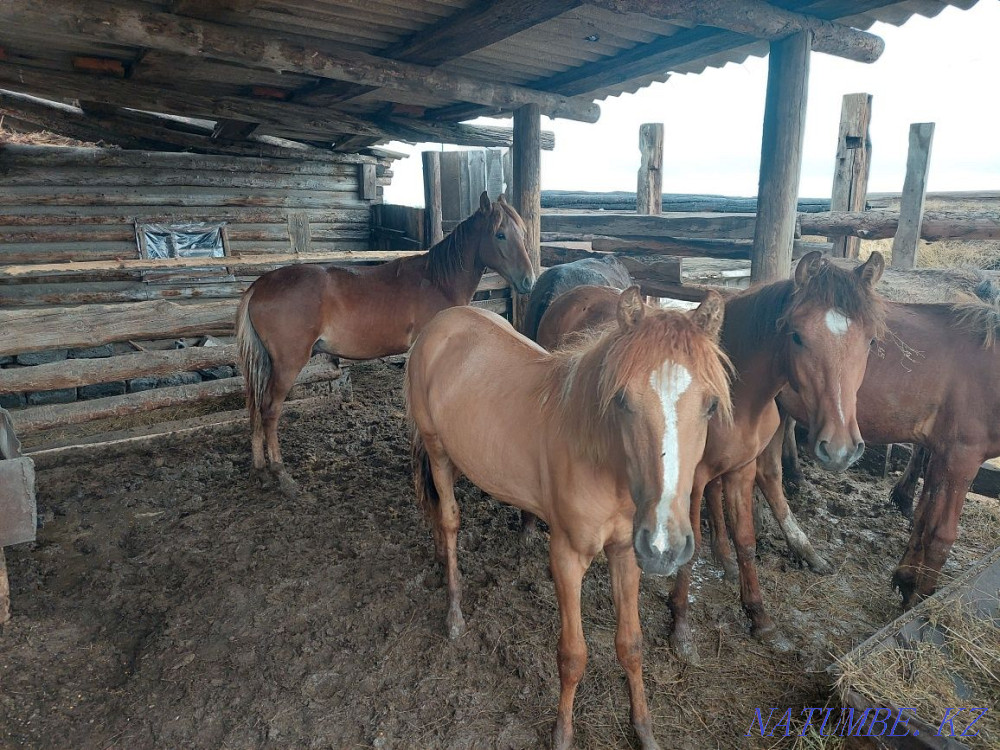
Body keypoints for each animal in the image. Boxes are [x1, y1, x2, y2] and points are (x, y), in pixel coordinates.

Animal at [236, 192, 535, 476]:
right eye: (500, 234)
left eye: (521, 232)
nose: (528, 281)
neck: (437, 281)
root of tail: (259, 286)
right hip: (287, 364)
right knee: (270, 411)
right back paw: (279, 468)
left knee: (257, 409)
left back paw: (260, 465)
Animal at [406, 288, 732, 750]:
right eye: (623, 400)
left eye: (711, 405)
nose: (665, 545)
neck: (601, 458)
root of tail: (442, 322)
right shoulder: (566, 556)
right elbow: (573, 654)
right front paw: (561, 733)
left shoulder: (625, 552)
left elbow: (631, 644)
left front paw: (644, 730)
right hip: (437, 450)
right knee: (450, 518)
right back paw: (454, 614)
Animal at [536, 252, 886, 662]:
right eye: (798, 335)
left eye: (871, 340)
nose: (840, 447)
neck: (742, 397)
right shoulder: (691, 480)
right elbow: (691, 549)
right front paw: (681, 629)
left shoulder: (741, 470)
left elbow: (746, 540)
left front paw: (759, 616)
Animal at [744, 291, 1000, 608]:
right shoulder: (962, 456)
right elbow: (941, 535)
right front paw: (920, 602)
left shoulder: (940, 453)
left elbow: (923, 519)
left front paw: (906, 580)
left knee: (767, 471)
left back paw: (803, 550)